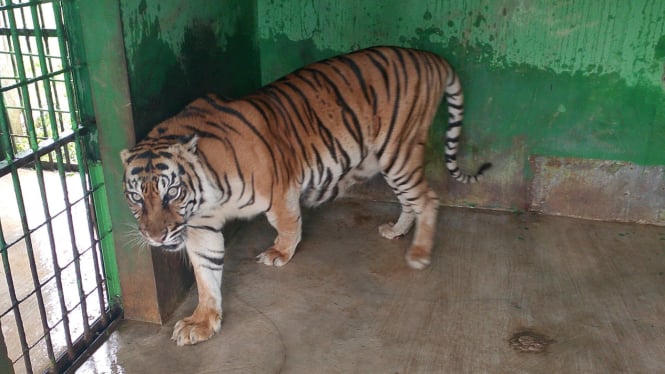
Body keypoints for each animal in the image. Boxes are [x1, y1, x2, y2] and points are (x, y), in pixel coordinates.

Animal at [122, 45, 490, 346]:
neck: (204, 196)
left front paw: (280, 253)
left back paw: (419, 252)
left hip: (398, 151)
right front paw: (202, 322)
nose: (155, 237)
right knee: (410, 199)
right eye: (137, 198)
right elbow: (206, 273)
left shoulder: (279, 187)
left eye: (171, 192)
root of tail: (430, 56)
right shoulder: (200, 227)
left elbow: (287, 224)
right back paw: (397, 231)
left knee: (427, 198)